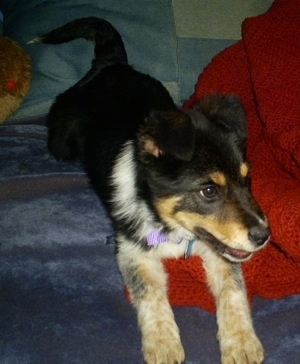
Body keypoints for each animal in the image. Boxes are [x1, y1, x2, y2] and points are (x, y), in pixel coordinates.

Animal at [35, 17, 272, 364]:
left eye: (247, 178)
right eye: (209, 191)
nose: (263, 236)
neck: (173, 229)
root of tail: (111, 63)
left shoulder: (221, 250)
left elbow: (232, 287)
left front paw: (241, 342)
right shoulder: (132, 250)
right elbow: (150, 294)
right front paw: (163, 344)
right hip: (61, 142)